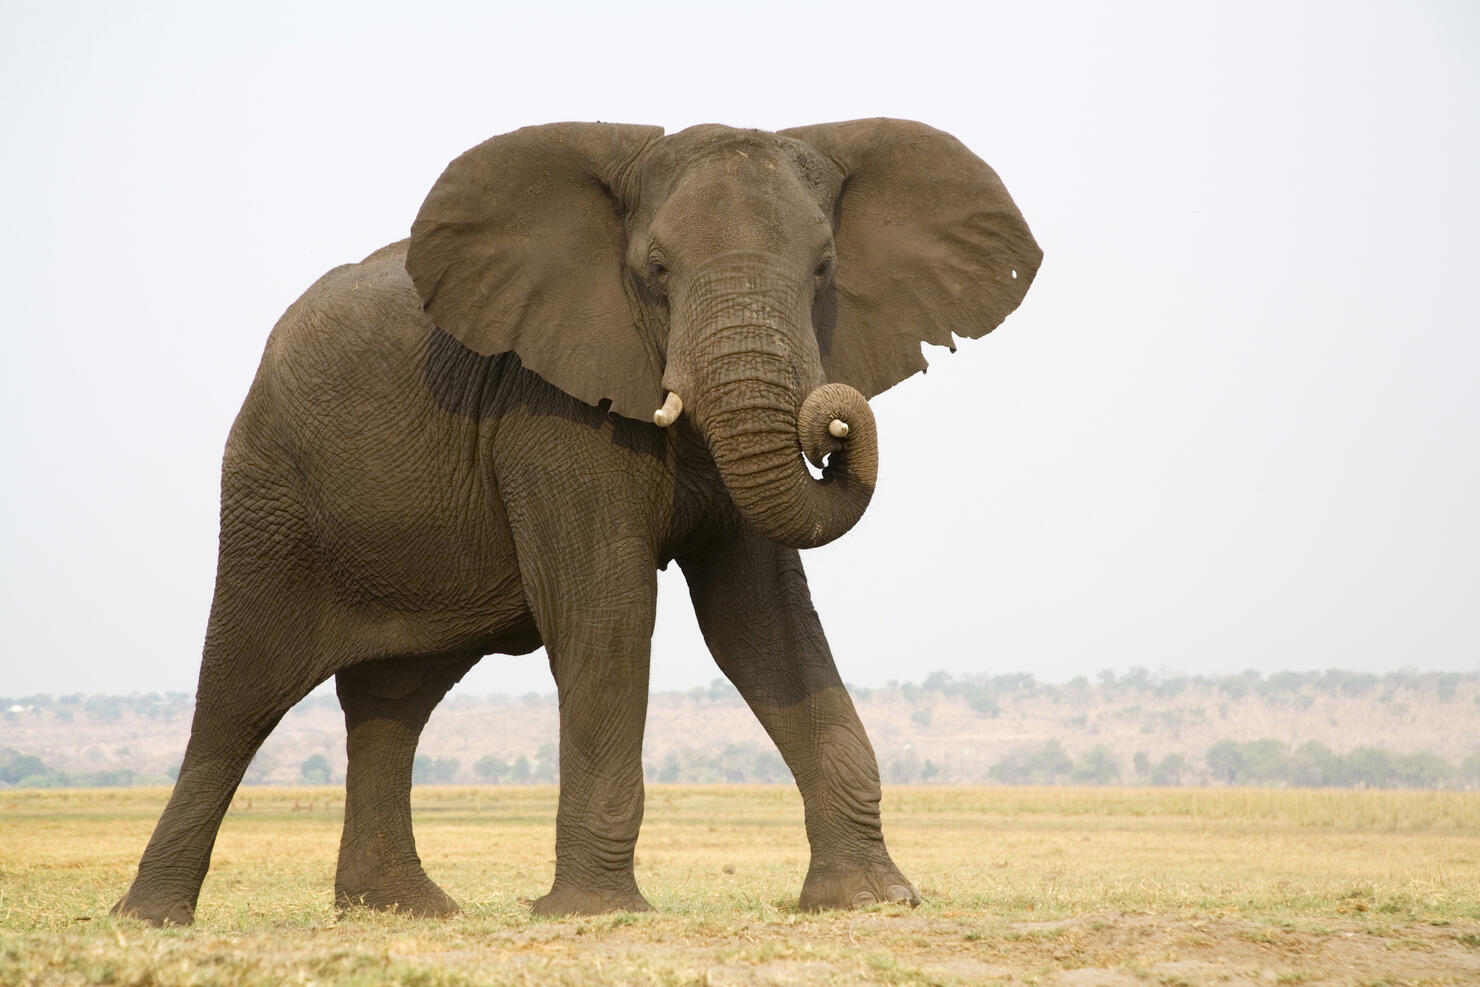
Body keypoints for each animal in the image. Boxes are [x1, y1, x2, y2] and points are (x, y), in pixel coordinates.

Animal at [112, 117, 1041, 929]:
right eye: (656, 268)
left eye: (824, 268)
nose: (834, 422)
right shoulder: (549, 411)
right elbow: (608, 610)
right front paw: (594, 912)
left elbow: (760, 623)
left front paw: (873, 900)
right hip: (270, 494)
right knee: (239, 693)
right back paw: (152, 919)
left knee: (393, 700)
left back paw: (405, 911)